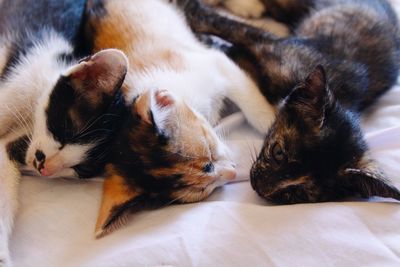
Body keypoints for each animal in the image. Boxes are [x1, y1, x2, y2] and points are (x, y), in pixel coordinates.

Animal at [84, 0, 276, 239]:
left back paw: (248, 6)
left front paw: (273, 120)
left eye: (209, 151)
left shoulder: (216, 64)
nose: (232, 174)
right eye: (203, 190)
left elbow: (253, 108)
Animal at [175, 0, 400, 205]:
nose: (257, 186)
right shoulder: (271, 45)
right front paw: (190, 15)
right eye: (278, 152)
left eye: (298, 193)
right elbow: (226, 26)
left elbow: (233, 55)